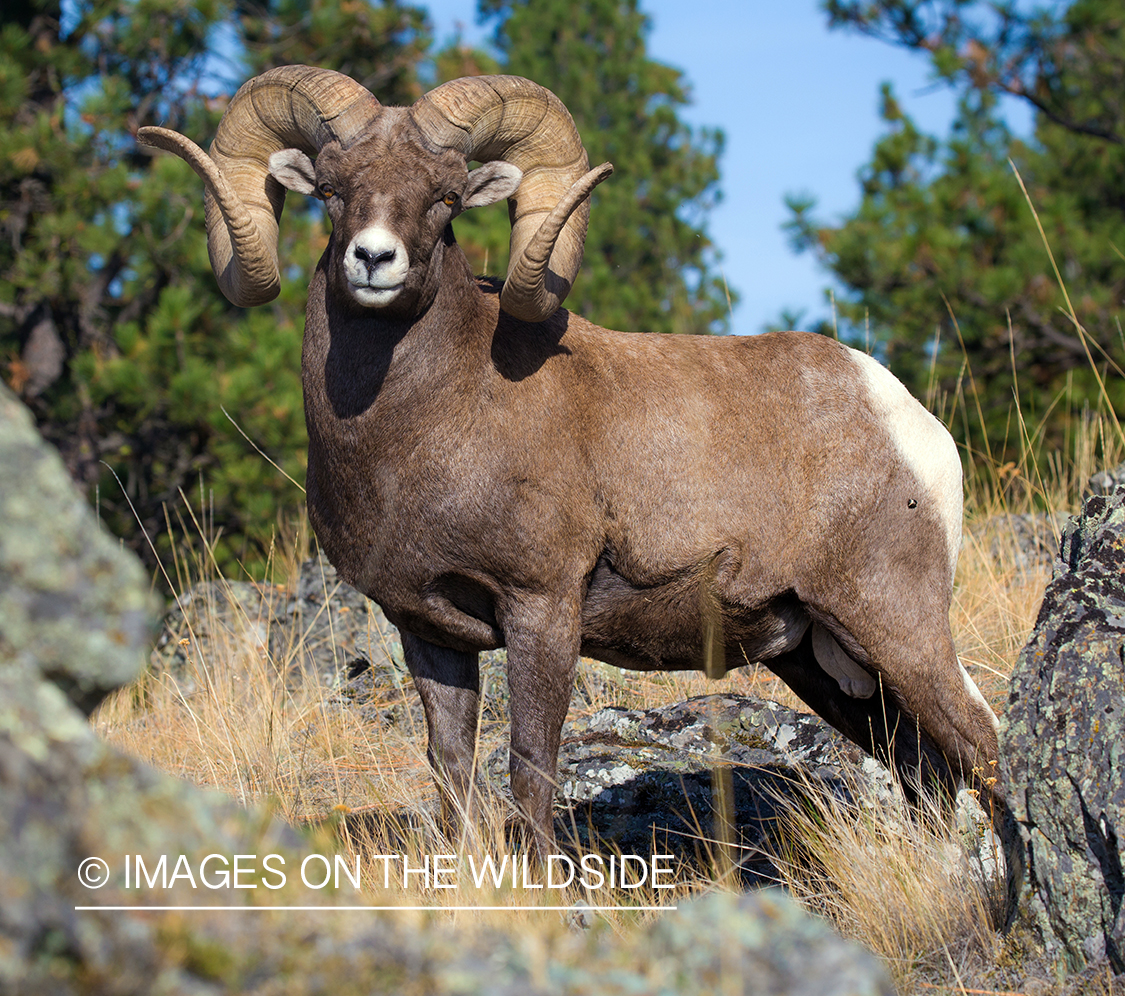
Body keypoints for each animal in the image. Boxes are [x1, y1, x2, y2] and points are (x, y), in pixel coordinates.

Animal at [139, 65, 1002, 854]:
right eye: (329, 189)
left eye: (445, 198)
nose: (373, 260)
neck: (423, 423)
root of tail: (907, 421)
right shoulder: (430, 631)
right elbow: (452, 768)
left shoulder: (541, 609)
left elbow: (530, 768)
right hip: (823, 660)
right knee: (920, 764)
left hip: (891, 620)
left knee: (981, 742)